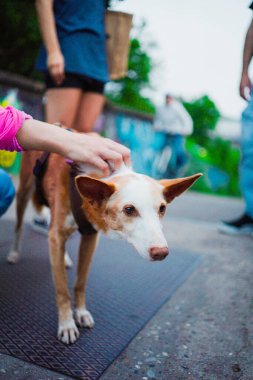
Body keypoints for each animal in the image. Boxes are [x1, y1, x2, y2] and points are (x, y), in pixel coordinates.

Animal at [7, 150, 202, 346]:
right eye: (129, 209)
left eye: (162, 209)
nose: (161, 252)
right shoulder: (56, 233)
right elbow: (62, 290)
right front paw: (67, 324)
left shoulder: (90, 237)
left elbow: (81, 282)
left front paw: (81, 312)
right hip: (24, 191)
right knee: (18, 226)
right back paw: (14, 252)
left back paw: (64, 258)